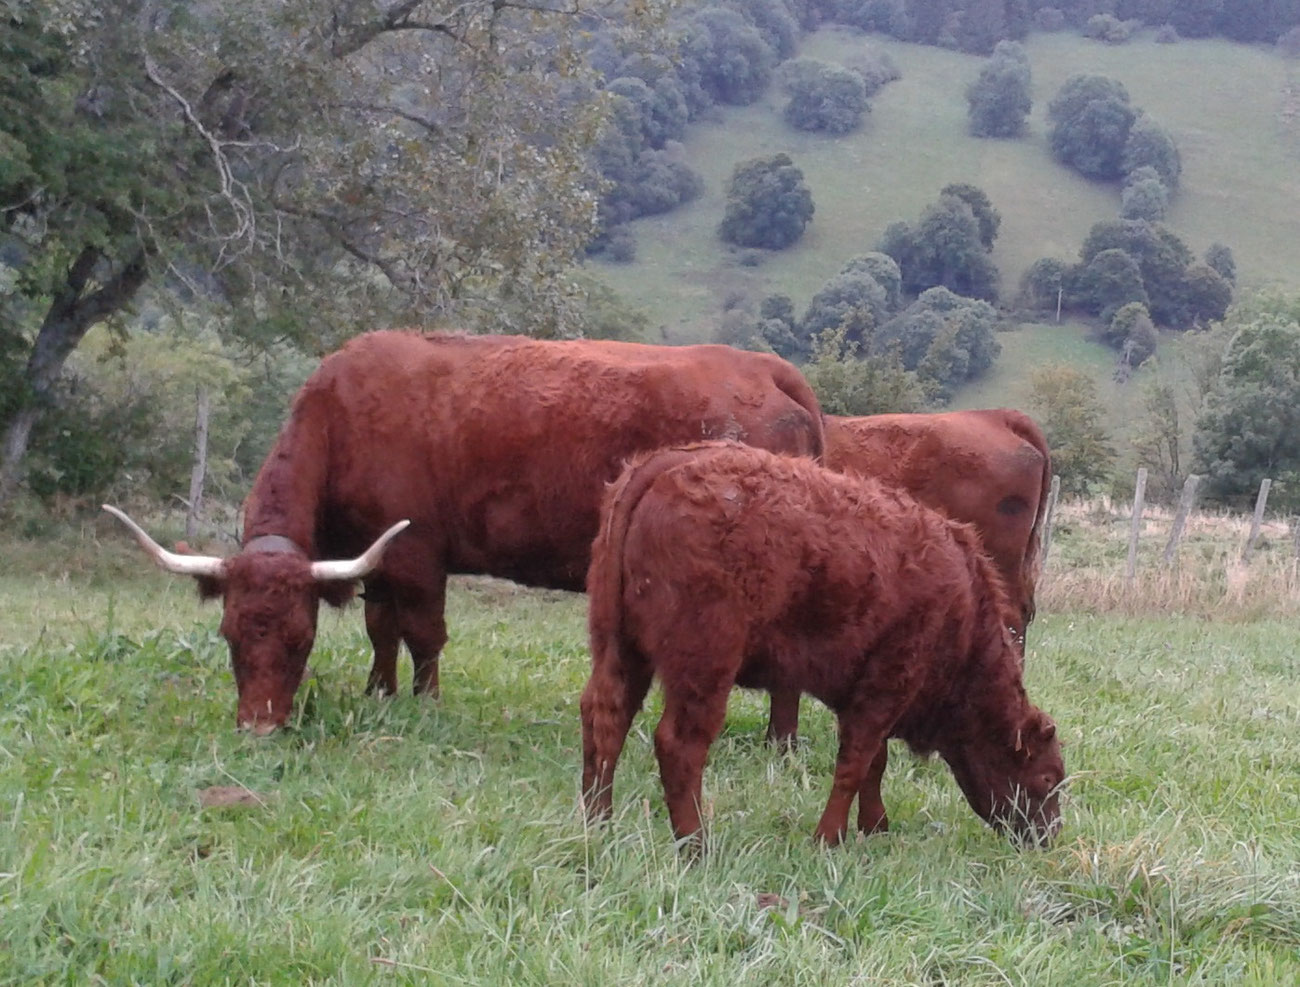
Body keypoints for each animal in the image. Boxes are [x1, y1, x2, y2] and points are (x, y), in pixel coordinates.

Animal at [105, 330, 824, 733]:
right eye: (229, 634)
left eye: (299, 638)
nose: (256, 727)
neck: (339, 417)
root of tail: (765, 368)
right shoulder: (378, 560)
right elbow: (382, 628)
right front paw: (379, 692)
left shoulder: (417, 551)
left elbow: (424, 633)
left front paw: (426, 703)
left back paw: (779, 743)